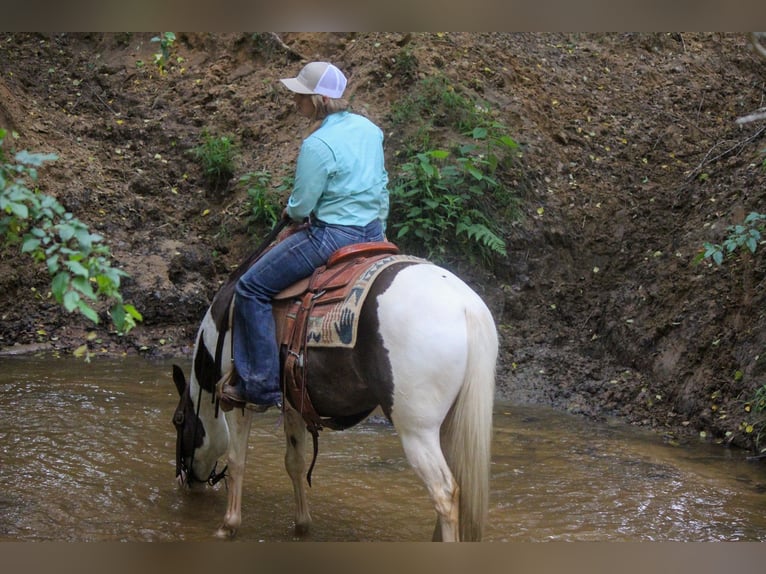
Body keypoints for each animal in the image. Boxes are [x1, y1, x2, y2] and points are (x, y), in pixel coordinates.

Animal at [171, 233, 500, 540]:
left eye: (178, 420)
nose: (186, 482)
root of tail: (467, 308)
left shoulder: (239, 401)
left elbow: (237, 459)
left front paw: (228, 526)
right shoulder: (293, 403)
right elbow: (295, 462)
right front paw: (301, 525)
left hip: (417, 430)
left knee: (444, 492)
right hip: (448, 423)